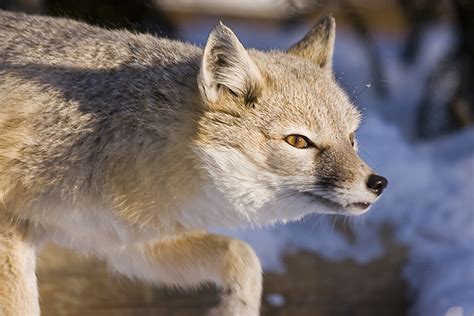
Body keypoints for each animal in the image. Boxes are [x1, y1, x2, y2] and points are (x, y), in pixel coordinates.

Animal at [0, 10, 386, 316]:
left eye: (351, 138)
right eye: (298, 142)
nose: (378, 183)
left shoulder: (121, 240)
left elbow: (243, 255)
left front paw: (235, 309)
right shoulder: (12, 228)